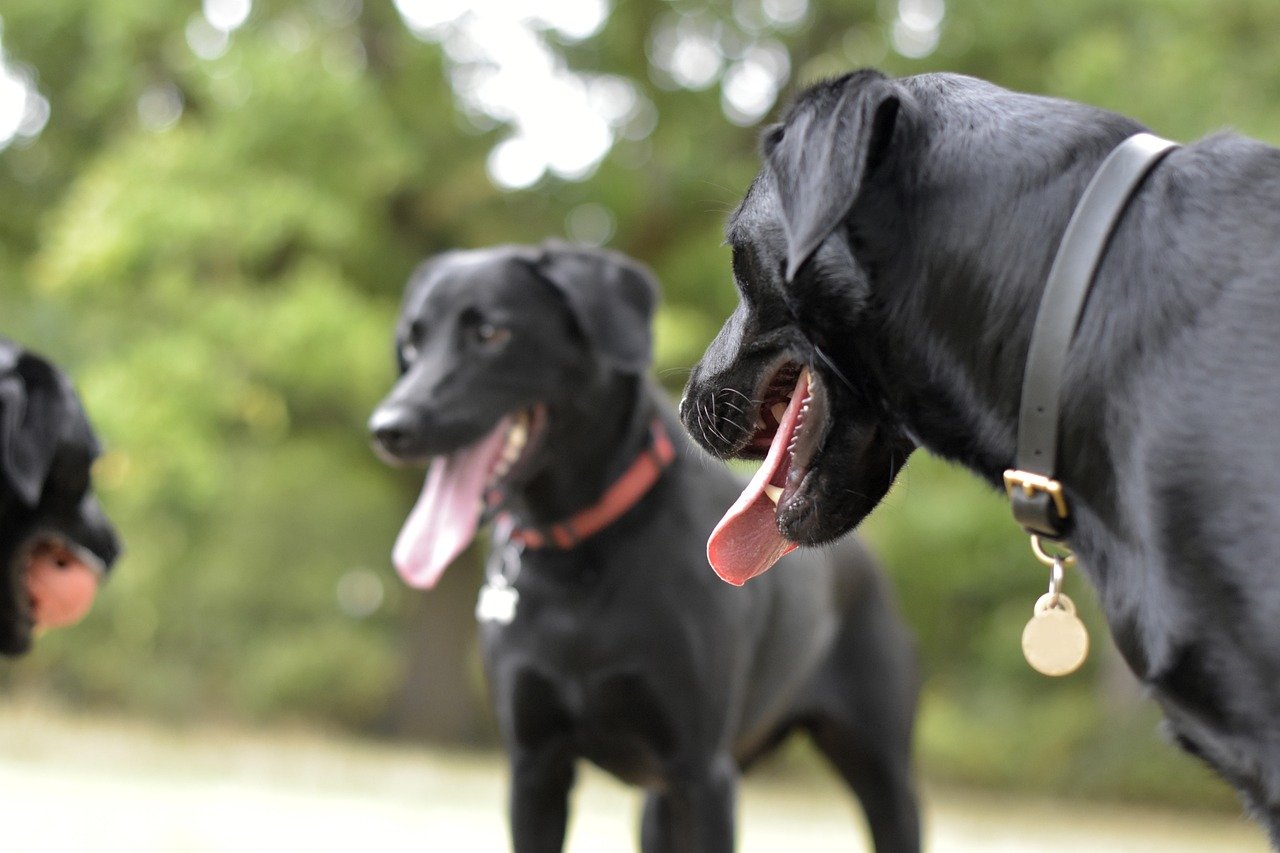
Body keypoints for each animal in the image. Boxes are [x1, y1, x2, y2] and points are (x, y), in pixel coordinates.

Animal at [371, 242, 921, 850]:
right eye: (411, 343)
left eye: (490, 332)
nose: (388, 429)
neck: (574, 560)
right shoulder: (534, 768)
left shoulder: (702, 773)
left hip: (882, 773)